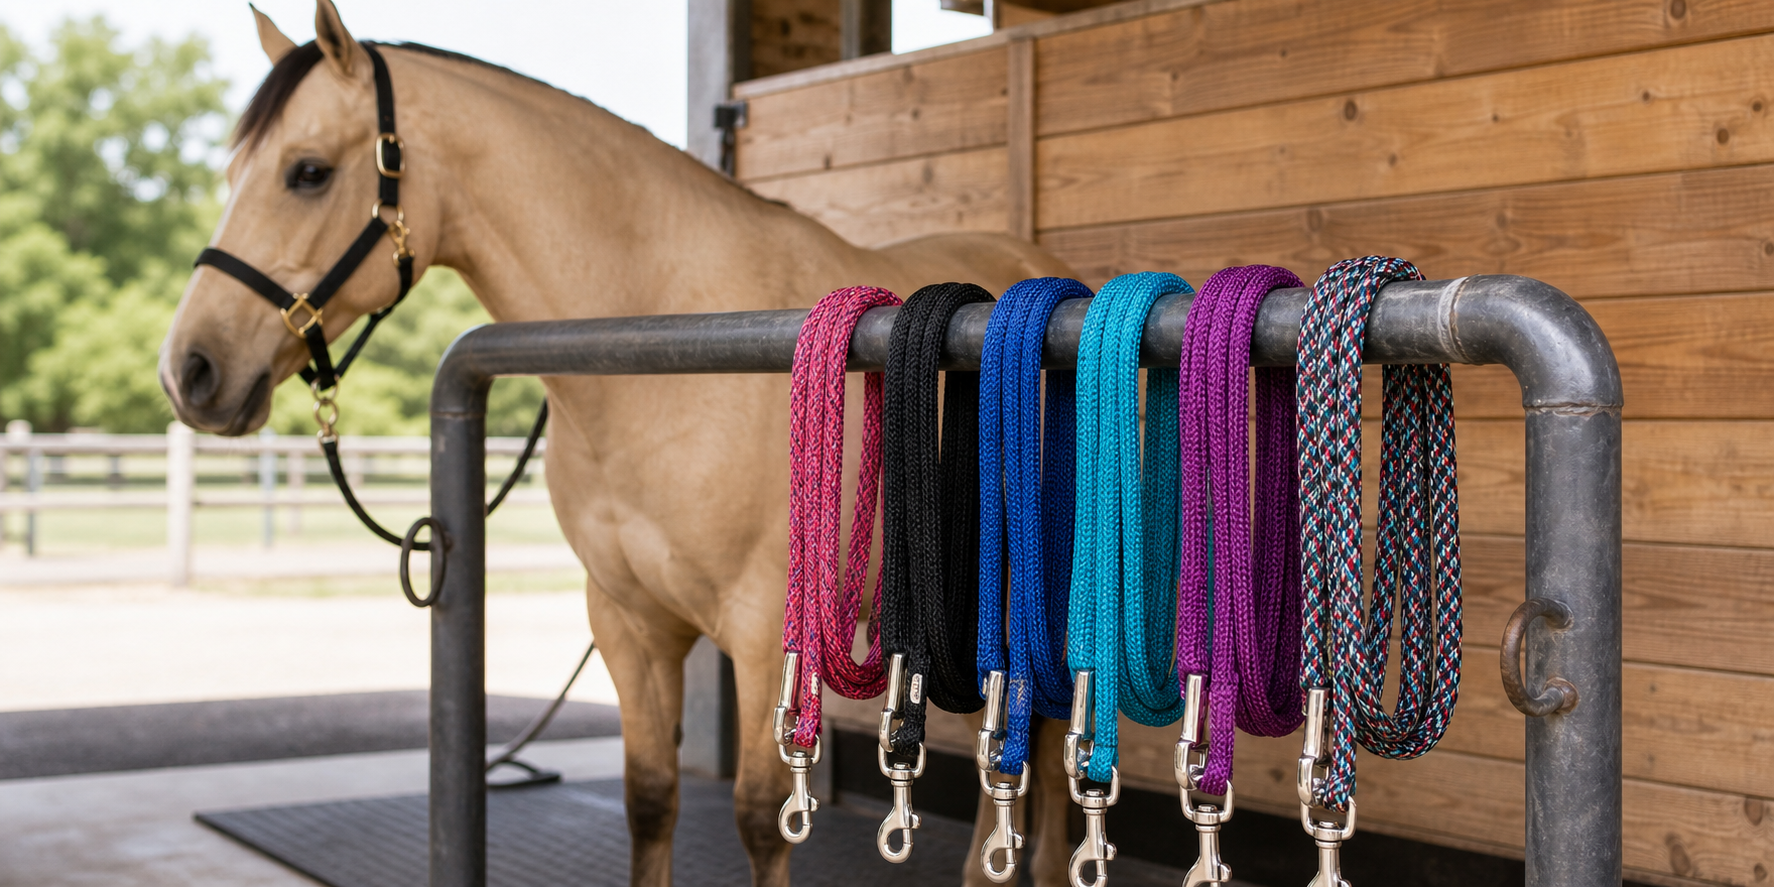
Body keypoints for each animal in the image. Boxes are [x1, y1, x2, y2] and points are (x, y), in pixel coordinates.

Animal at [158, 2, 1080, 885]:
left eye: (308, 171)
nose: (189, 370)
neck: (664, 350)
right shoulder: (627, 621)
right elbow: (649, 799)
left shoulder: (760, 630)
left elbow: (760, 819)